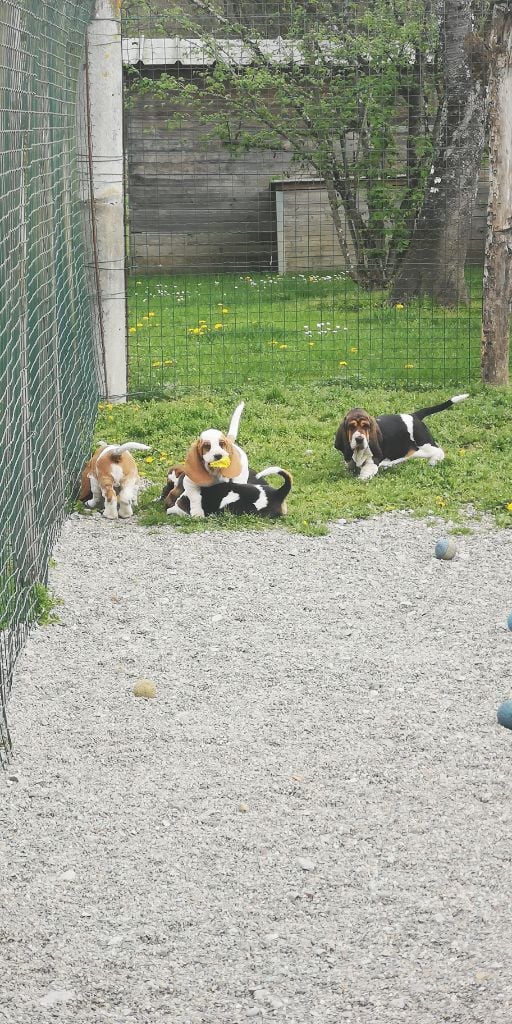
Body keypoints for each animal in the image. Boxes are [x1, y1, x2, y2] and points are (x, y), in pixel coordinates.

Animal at [333, 395, 468, 483]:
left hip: (425, 446)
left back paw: (433, 462)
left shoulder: (372, 462)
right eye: (351, 427)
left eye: (366, 426)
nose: (359, 439)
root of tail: (414, 415)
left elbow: (364, 473)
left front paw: (359, 479)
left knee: (439, 451)